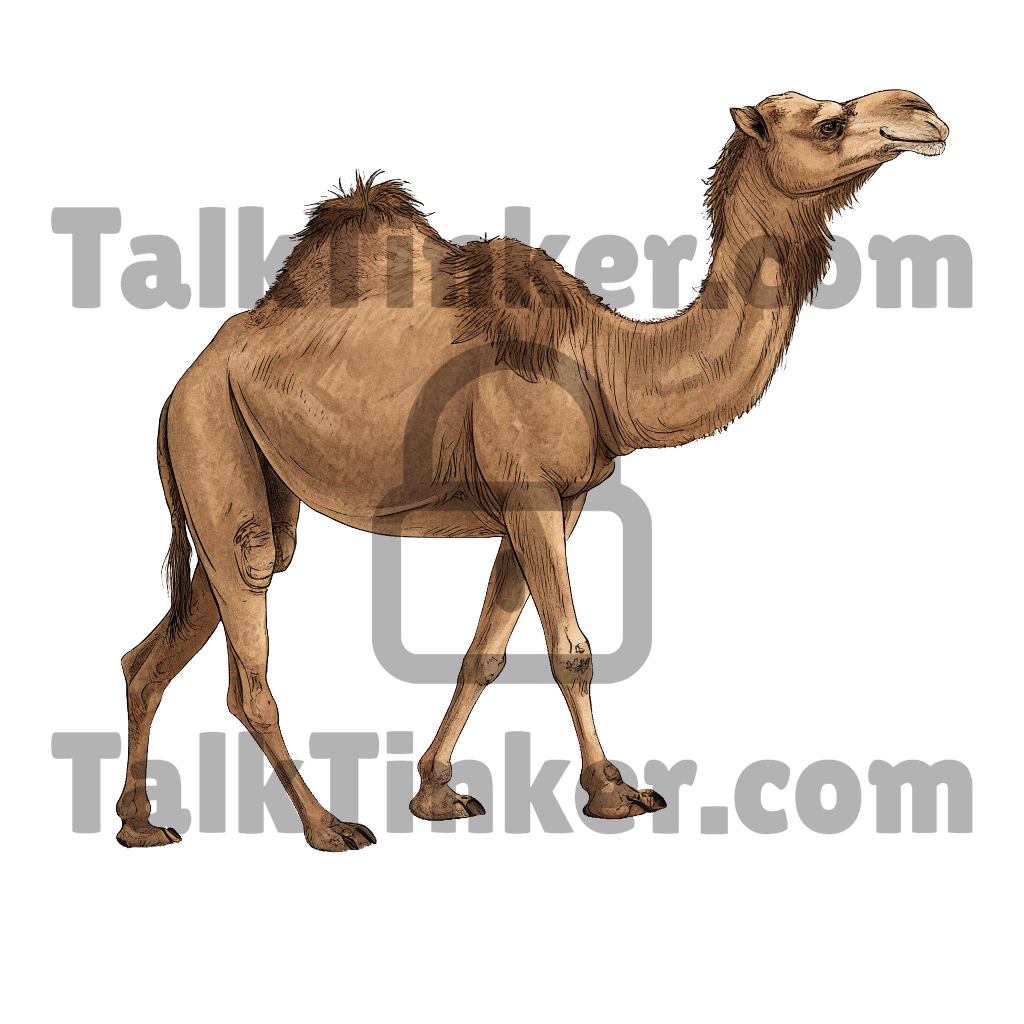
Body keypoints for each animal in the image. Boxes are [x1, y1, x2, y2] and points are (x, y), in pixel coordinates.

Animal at [115, 89, 949, 851]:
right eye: (829, 123)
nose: (926, 114)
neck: (608, 366)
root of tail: (181, 383)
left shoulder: (555, 500)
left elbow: (485, 651)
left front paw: (435, 792)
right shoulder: (528, 492)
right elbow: (571, 650)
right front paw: (611, 795)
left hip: (242, 476)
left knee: (158, 647)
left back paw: (139, 823)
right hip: (212, 434)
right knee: (249, 655)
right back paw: (328, 827)